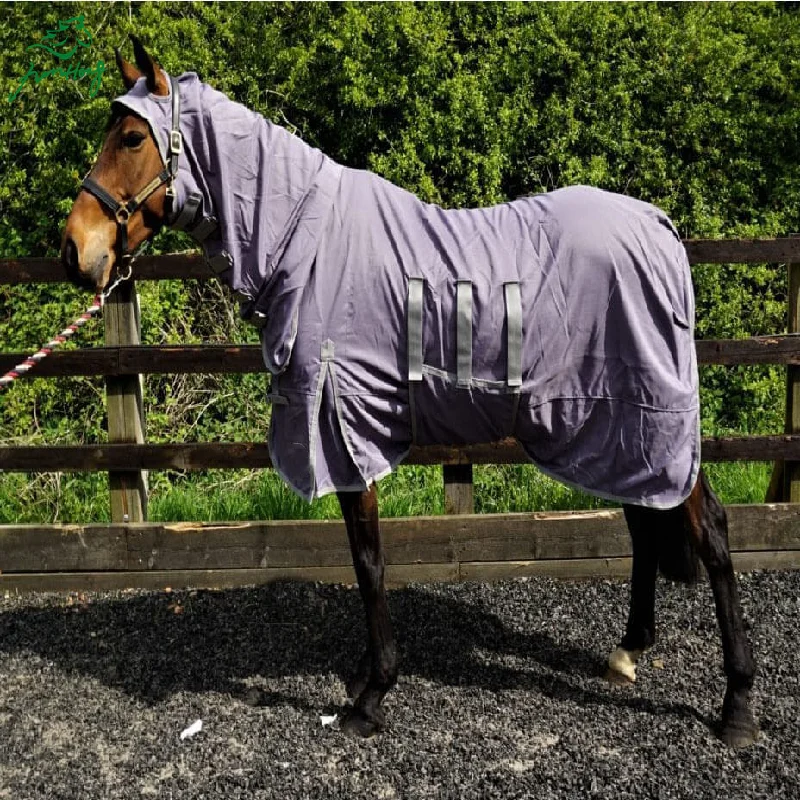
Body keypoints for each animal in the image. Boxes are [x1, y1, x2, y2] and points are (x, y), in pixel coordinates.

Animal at [61, 37, 758, 747]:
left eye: (131, 137)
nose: (74, 250)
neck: (308, 245)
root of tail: (659, 225)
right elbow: (363, 562)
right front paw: (365, 681)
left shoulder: (344, 432)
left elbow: (369, 564)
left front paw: (372, 696)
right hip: (616, 426)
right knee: (645, 523)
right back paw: (629, 650)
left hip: (649, 419)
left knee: (712, 531)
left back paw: (737, 706)